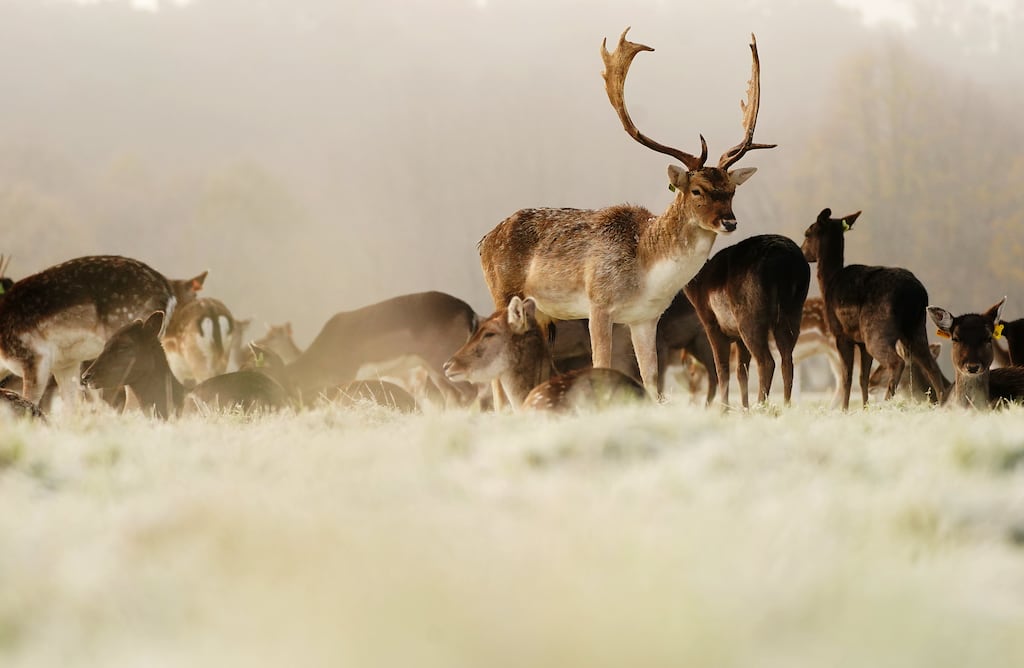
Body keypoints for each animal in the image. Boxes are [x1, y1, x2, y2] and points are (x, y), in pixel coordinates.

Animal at [477, 29, 774, 400]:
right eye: (697, 190)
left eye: (732, 190)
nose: (729, 221)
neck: (646, 269)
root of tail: (483, 241)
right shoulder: (598, 304)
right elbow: (602, 364)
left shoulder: (645, 318)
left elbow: (651, 378)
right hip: (501, 291)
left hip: (542, 313)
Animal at [683, 234, 810, 408]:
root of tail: (786, 264)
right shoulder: (738, 337)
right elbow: (741, 371)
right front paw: (744, 409)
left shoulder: (712, 324)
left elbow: (721, 369)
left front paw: (724, 410)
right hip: (792, 313)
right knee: (787, 360)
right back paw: (786, 406)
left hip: (750, 318)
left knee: (767, 361)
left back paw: (761, 406)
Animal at [801, 208, 947, 409]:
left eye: (807, 233)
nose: (802, 253)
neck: (828, 284)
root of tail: (916, 294)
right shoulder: (861, 341)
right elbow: (862, 378)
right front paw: (864, 408)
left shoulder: (841, 334)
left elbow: (847, 377)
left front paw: (845, 410)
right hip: (916, 327)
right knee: (931, 365)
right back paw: (943, 404)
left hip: (877, 329)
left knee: (897, 361)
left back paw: (887, 402)